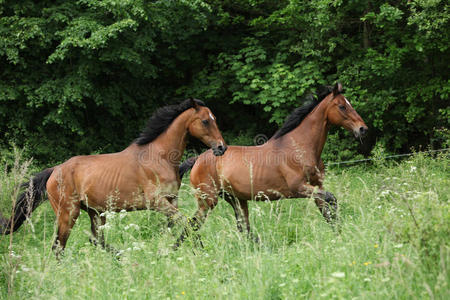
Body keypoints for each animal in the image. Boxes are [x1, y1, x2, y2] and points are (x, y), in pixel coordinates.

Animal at [0, 99, 225, 254]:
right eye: (205, 121)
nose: (221, 147)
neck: (159, 156)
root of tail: (54, 171)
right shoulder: (157, 202)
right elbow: (187, 223)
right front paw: (199, 249)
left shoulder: (171, 200)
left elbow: (180, 226)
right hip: (68, 213)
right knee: (59, 246)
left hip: (95, 212)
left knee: (95, 239)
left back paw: (121, 257)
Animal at [174, 83, 368, 247]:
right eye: (342, 106)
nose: (362, 129)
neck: (299, 147)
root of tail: (197, 159)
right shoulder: (298, 188)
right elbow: (331, 199)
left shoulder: (316, 186)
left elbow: (328, 210)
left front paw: (340, 237)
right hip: (207, 200)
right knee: (192, 225)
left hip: (235, 199)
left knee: (242, 228)